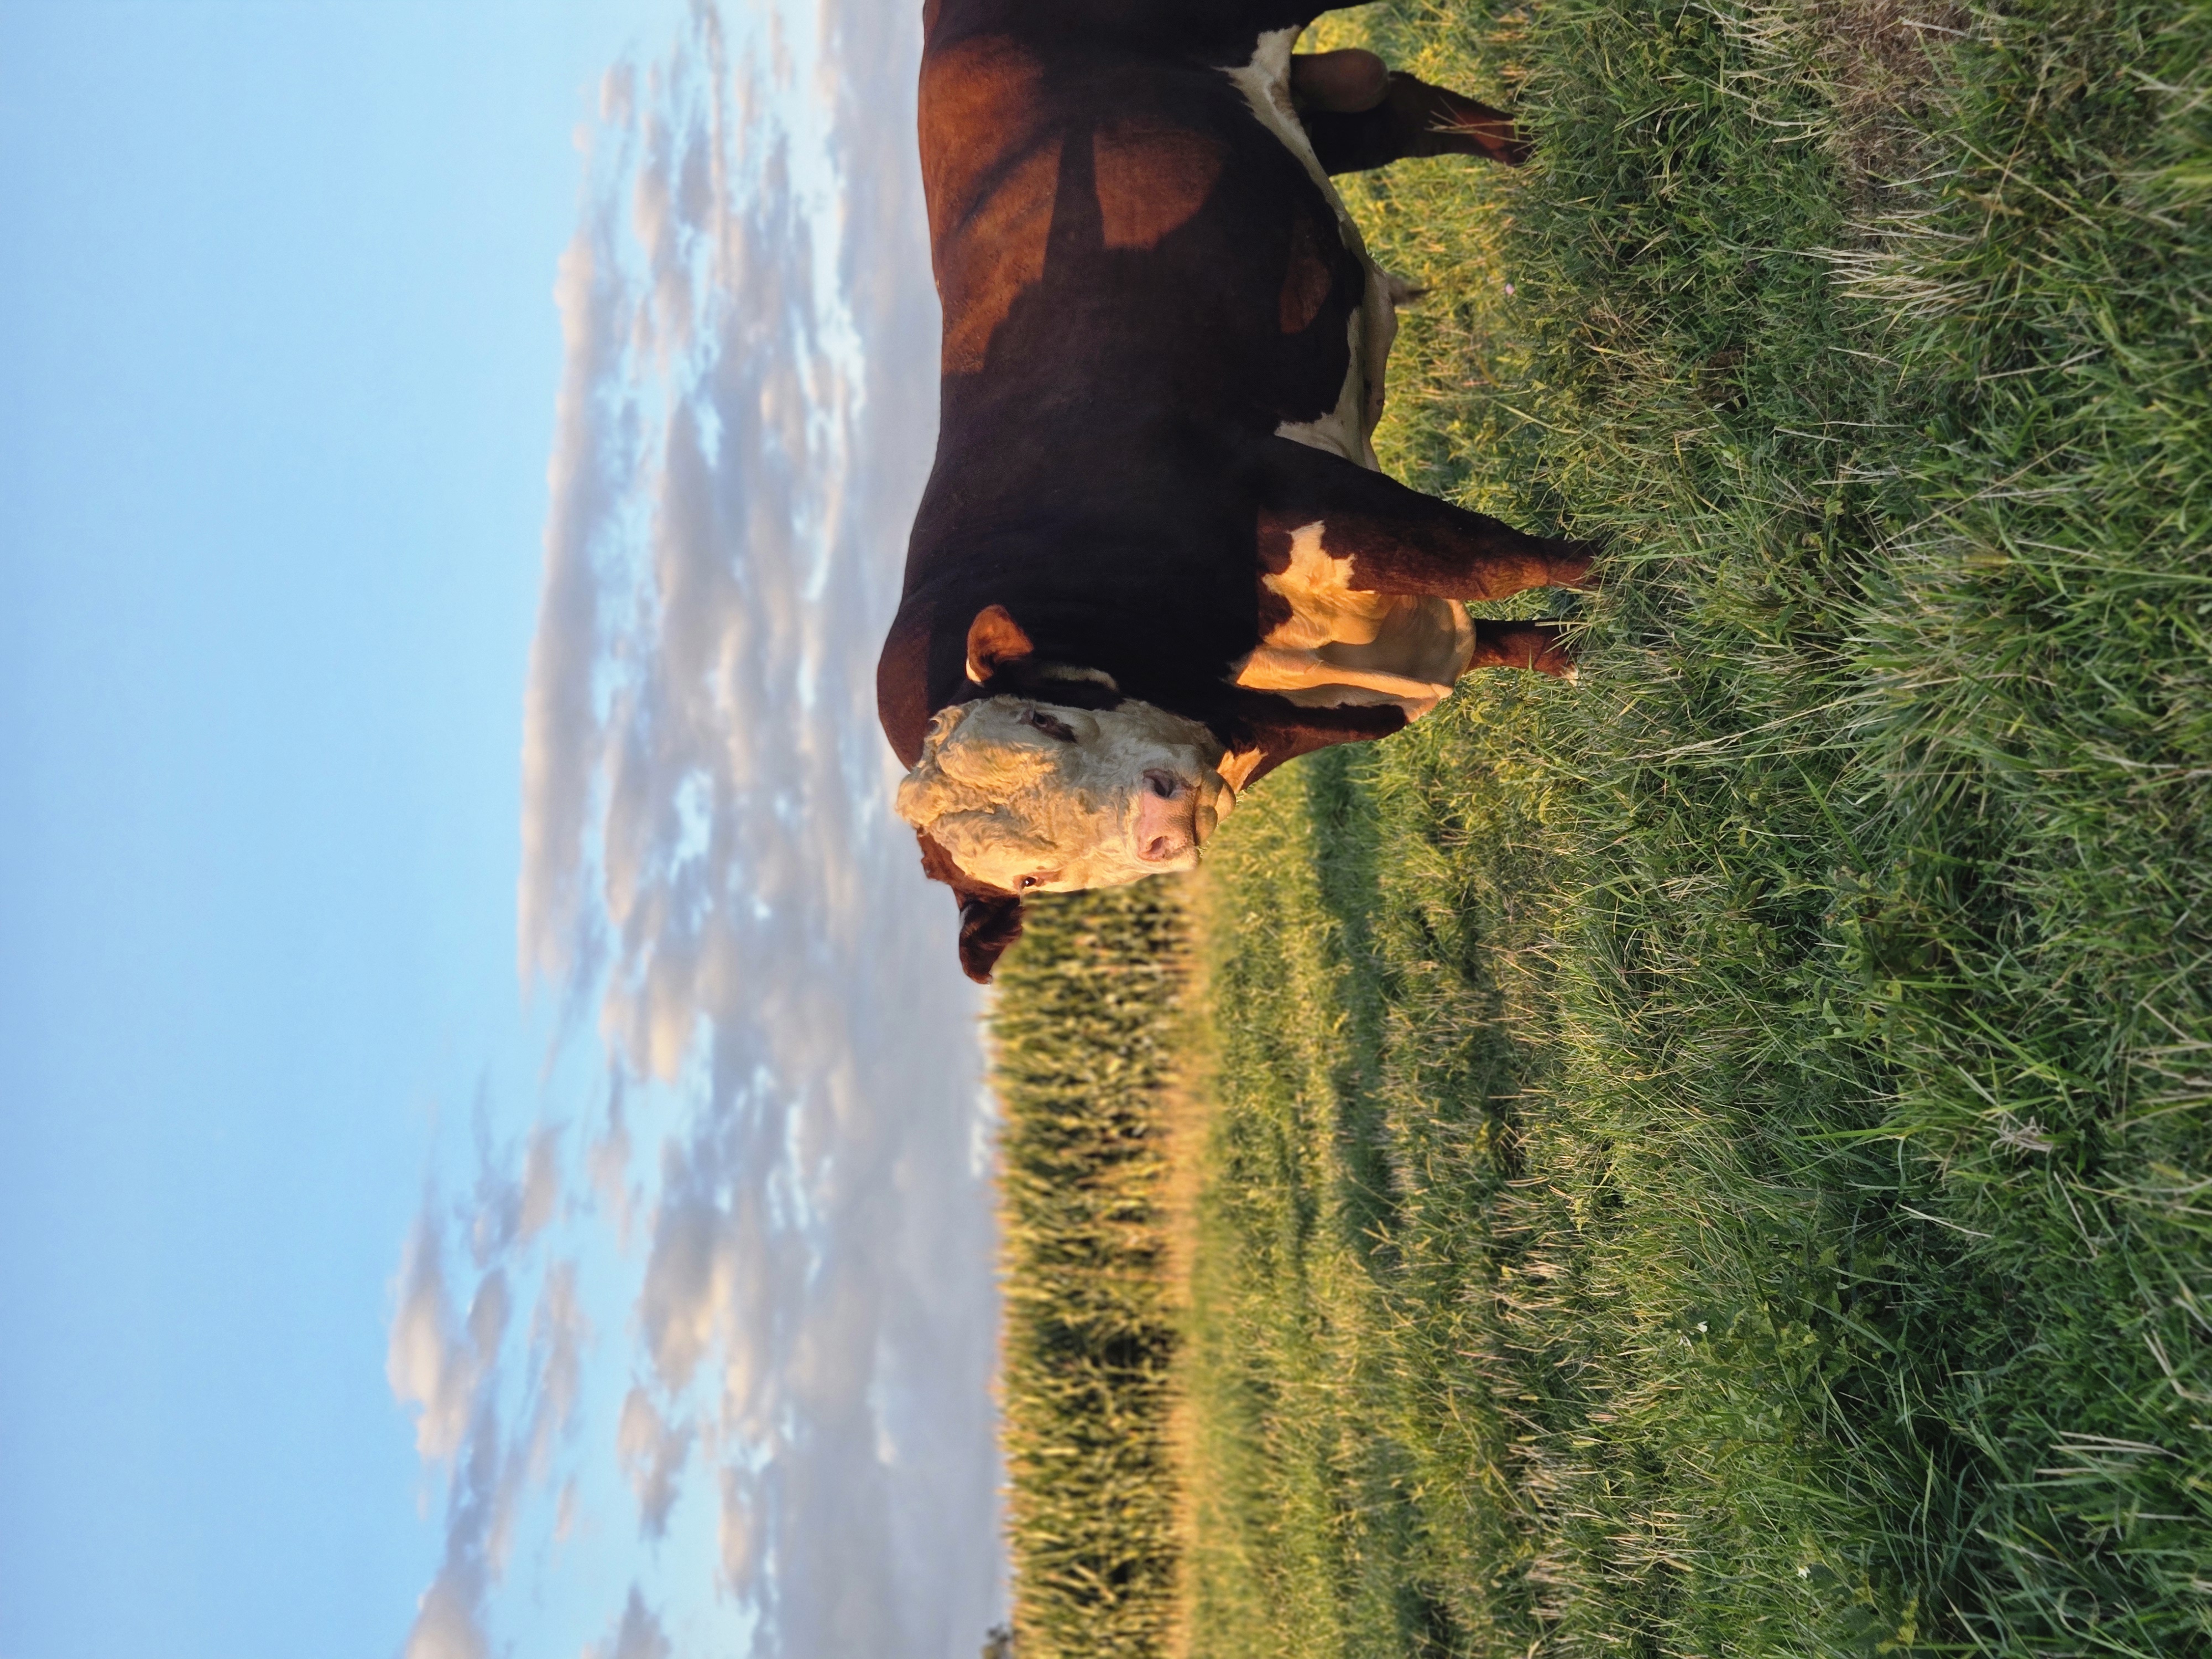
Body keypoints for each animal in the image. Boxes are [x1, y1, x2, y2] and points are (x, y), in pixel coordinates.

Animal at [878, 1, 1599, 983]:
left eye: (1047, 721)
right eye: (1031, 877)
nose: (1156, 816)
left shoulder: (1290, 489)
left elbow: (1501, 562)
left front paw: (1635, 568)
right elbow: (1493, 638)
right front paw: (1576, 654)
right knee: (1412, 111)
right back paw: (1547, 151)